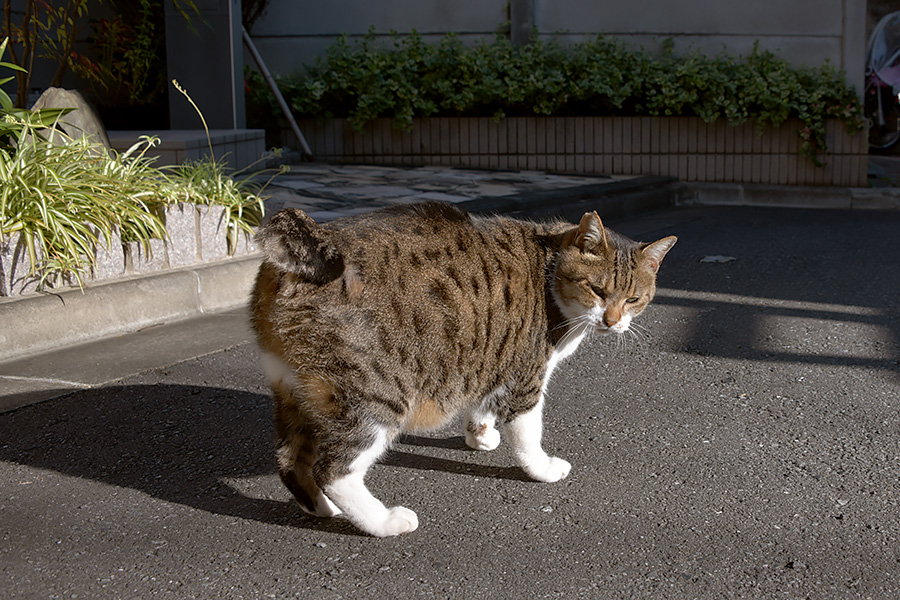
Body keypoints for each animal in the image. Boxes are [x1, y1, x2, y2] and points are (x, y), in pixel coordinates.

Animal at [248, 200, 676, 536]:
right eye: (597, 290)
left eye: (634, 299)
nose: (611, 321)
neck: (550, 270)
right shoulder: (527, 375)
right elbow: (528, 434)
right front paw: (542, 468)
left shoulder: (489, 357)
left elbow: (480, 403)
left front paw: (481, 436)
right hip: (374, 395)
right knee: (333, 470)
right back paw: (385, 522)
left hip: (295, 391)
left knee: (290, 458)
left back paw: (323, 508)